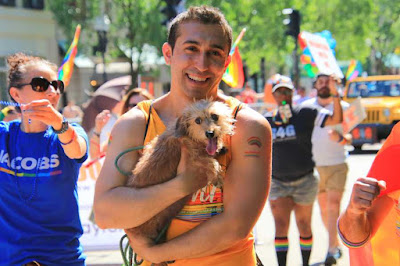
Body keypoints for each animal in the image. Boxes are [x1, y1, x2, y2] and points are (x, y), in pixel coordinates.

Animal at [126, 98, 234, 242]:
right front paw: (217, 176)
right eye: (197, 120)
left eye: (215, 116)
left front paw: (220, 148)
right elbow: (211, 162)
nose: (210, 133)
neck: (189, 136)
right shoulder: (193, 158)